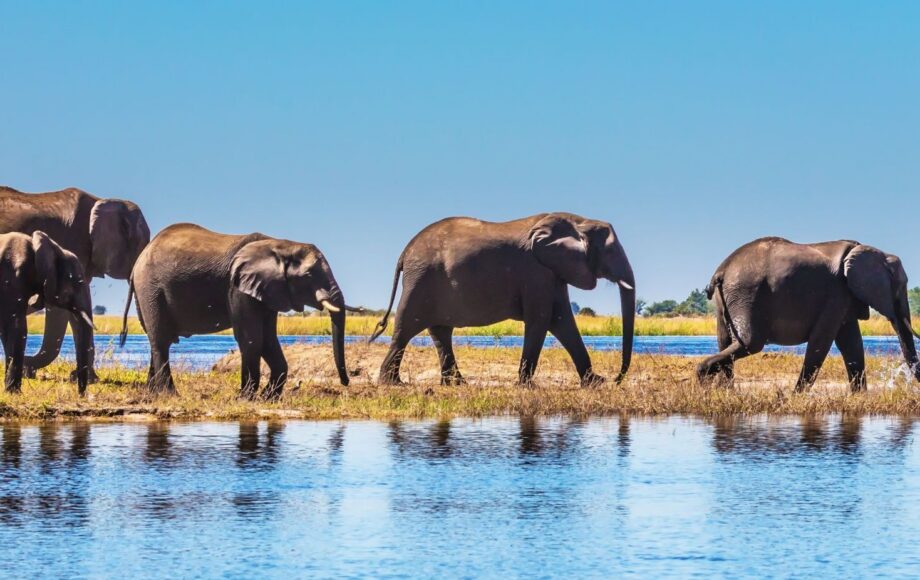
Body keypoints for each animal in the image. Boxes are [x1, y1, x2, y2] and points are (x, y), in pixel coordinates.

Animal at [122, 223, 357, 398]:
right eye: (308, 275)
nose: (346, 382)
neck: (280, 244)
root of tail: (139, 260)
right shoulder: (236, 286)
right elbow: (251, 338)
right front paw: (246, 398)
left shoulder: (268, 291)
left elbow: (268, 339)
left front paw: (267, 398)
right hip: (150, 288)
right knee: (161, 340)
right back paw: (170, 395)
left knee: (157, 340)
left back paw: (152, 395)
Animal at [370, 213, 636, 386]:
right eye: (610, 250)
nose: (616, 379)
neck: (579, 220)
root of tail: (404, 252)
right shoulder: (536, 272)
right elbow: (541, 319)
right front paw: (527, 386)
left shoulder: (552, 272)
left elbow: (562, 322)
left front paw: (595, 383)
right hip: (421, 279)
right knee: (406, 326)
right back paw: (392, 383)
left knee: (440, 331)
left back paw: (456, 384)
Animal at [698, 237, 920, 392]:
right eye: (900, 286)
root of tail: (721, 271)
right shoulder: (836, 293)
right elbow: (821, 342)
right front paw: (793, 397)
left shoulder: (844, 297)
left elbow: (852, 345)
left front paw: (860, 397)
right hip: (747, 293)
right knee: (750, 343)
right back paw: (703, 377)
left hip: (727, 300)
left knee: (725, 341)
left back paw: (723, 391)